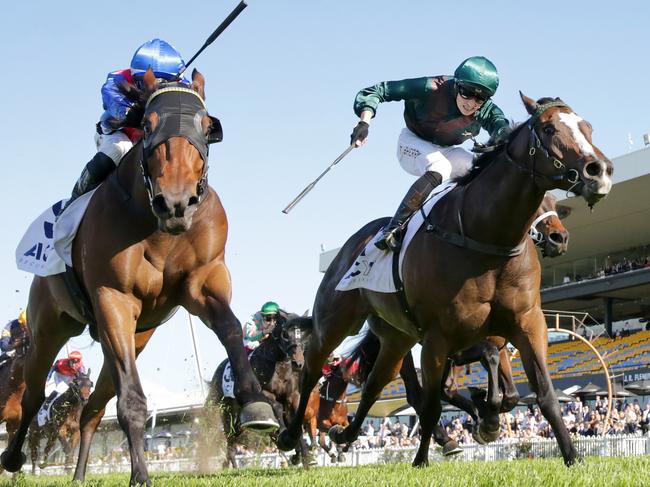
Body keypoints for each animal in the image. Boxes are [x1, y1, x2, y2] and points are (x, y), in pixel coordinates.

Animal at [0, 69, 274, 487]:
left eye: (206, 126)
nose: (175, 203)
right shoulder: (114, 298)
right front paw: (141, 475)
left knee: (93, 408)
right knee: (32, 396)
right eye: (147, 125)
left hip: (136, 336)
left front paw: (257, 403)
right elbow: (130, 399)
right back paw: (14, 458)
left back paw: (78, 474)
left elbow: (229, 327)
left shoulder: (202, 281)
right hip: (51, 324)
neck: (160, 228)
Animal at [205, 316, 312, 468]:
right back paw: (231, 465)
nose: (298, 363)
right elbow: (277, 408)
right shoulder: (266, 393)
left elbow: (295, 420)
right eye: (285, 335)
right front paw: (283, 436)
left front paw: (305, 458)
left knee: (235, 435)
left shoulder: (292, 396)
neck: (278, 364)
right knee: (229, 435)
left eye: (302, 336)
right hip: (227, 410)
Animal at [276, 93, 612, 470]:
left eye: (588, 127)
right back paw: (291, 436)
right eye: (549, 128)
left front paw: (571, 456)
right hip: (335, 321)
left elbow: (542, 392)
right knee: (313, 369)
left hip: (397, 337)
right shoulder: (440, 337)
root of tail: (352, 243)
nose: (598, 170)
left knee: (377, 383)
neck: (486, 237)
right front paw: (424, 458)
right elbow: (435, 401)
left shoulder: (526, 323)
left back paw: (344, 434)